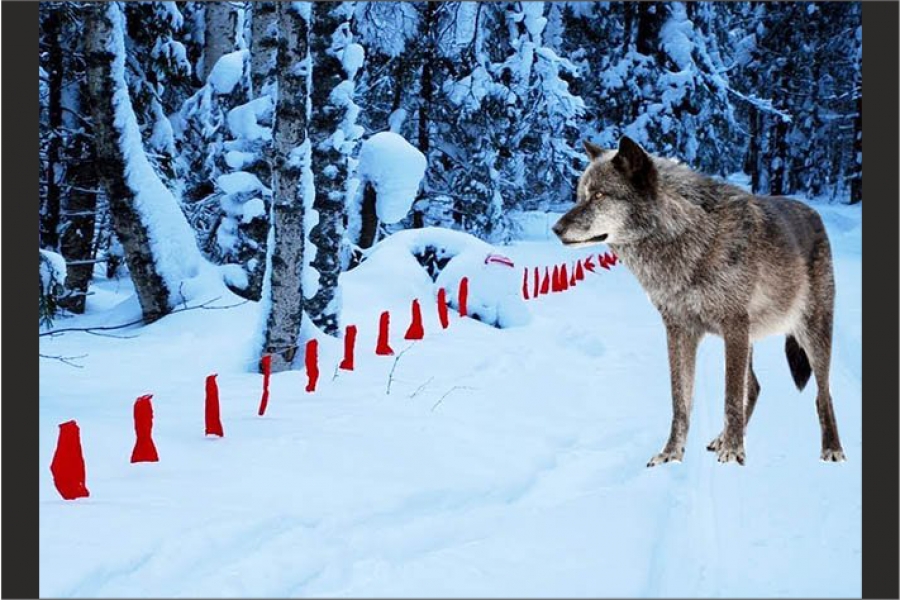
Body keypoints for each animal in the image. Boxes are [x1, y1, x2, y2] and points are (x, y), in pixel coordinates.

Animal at [552, 138, 848, 466]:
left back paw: (832, 449)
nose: (556, 228)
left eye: (600, 195)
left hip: (811, 334)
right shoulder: (679, 330)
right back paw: (721, 439)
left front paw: (733, 454)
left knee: (823, 393)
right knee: (756, 386)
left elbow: (730, 397)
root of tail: (813, 212)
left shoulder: (734, 325)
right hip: (752, 338)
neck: (689, 236)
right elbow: (680, 402)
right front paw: (671, 455)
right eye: (581, 195)